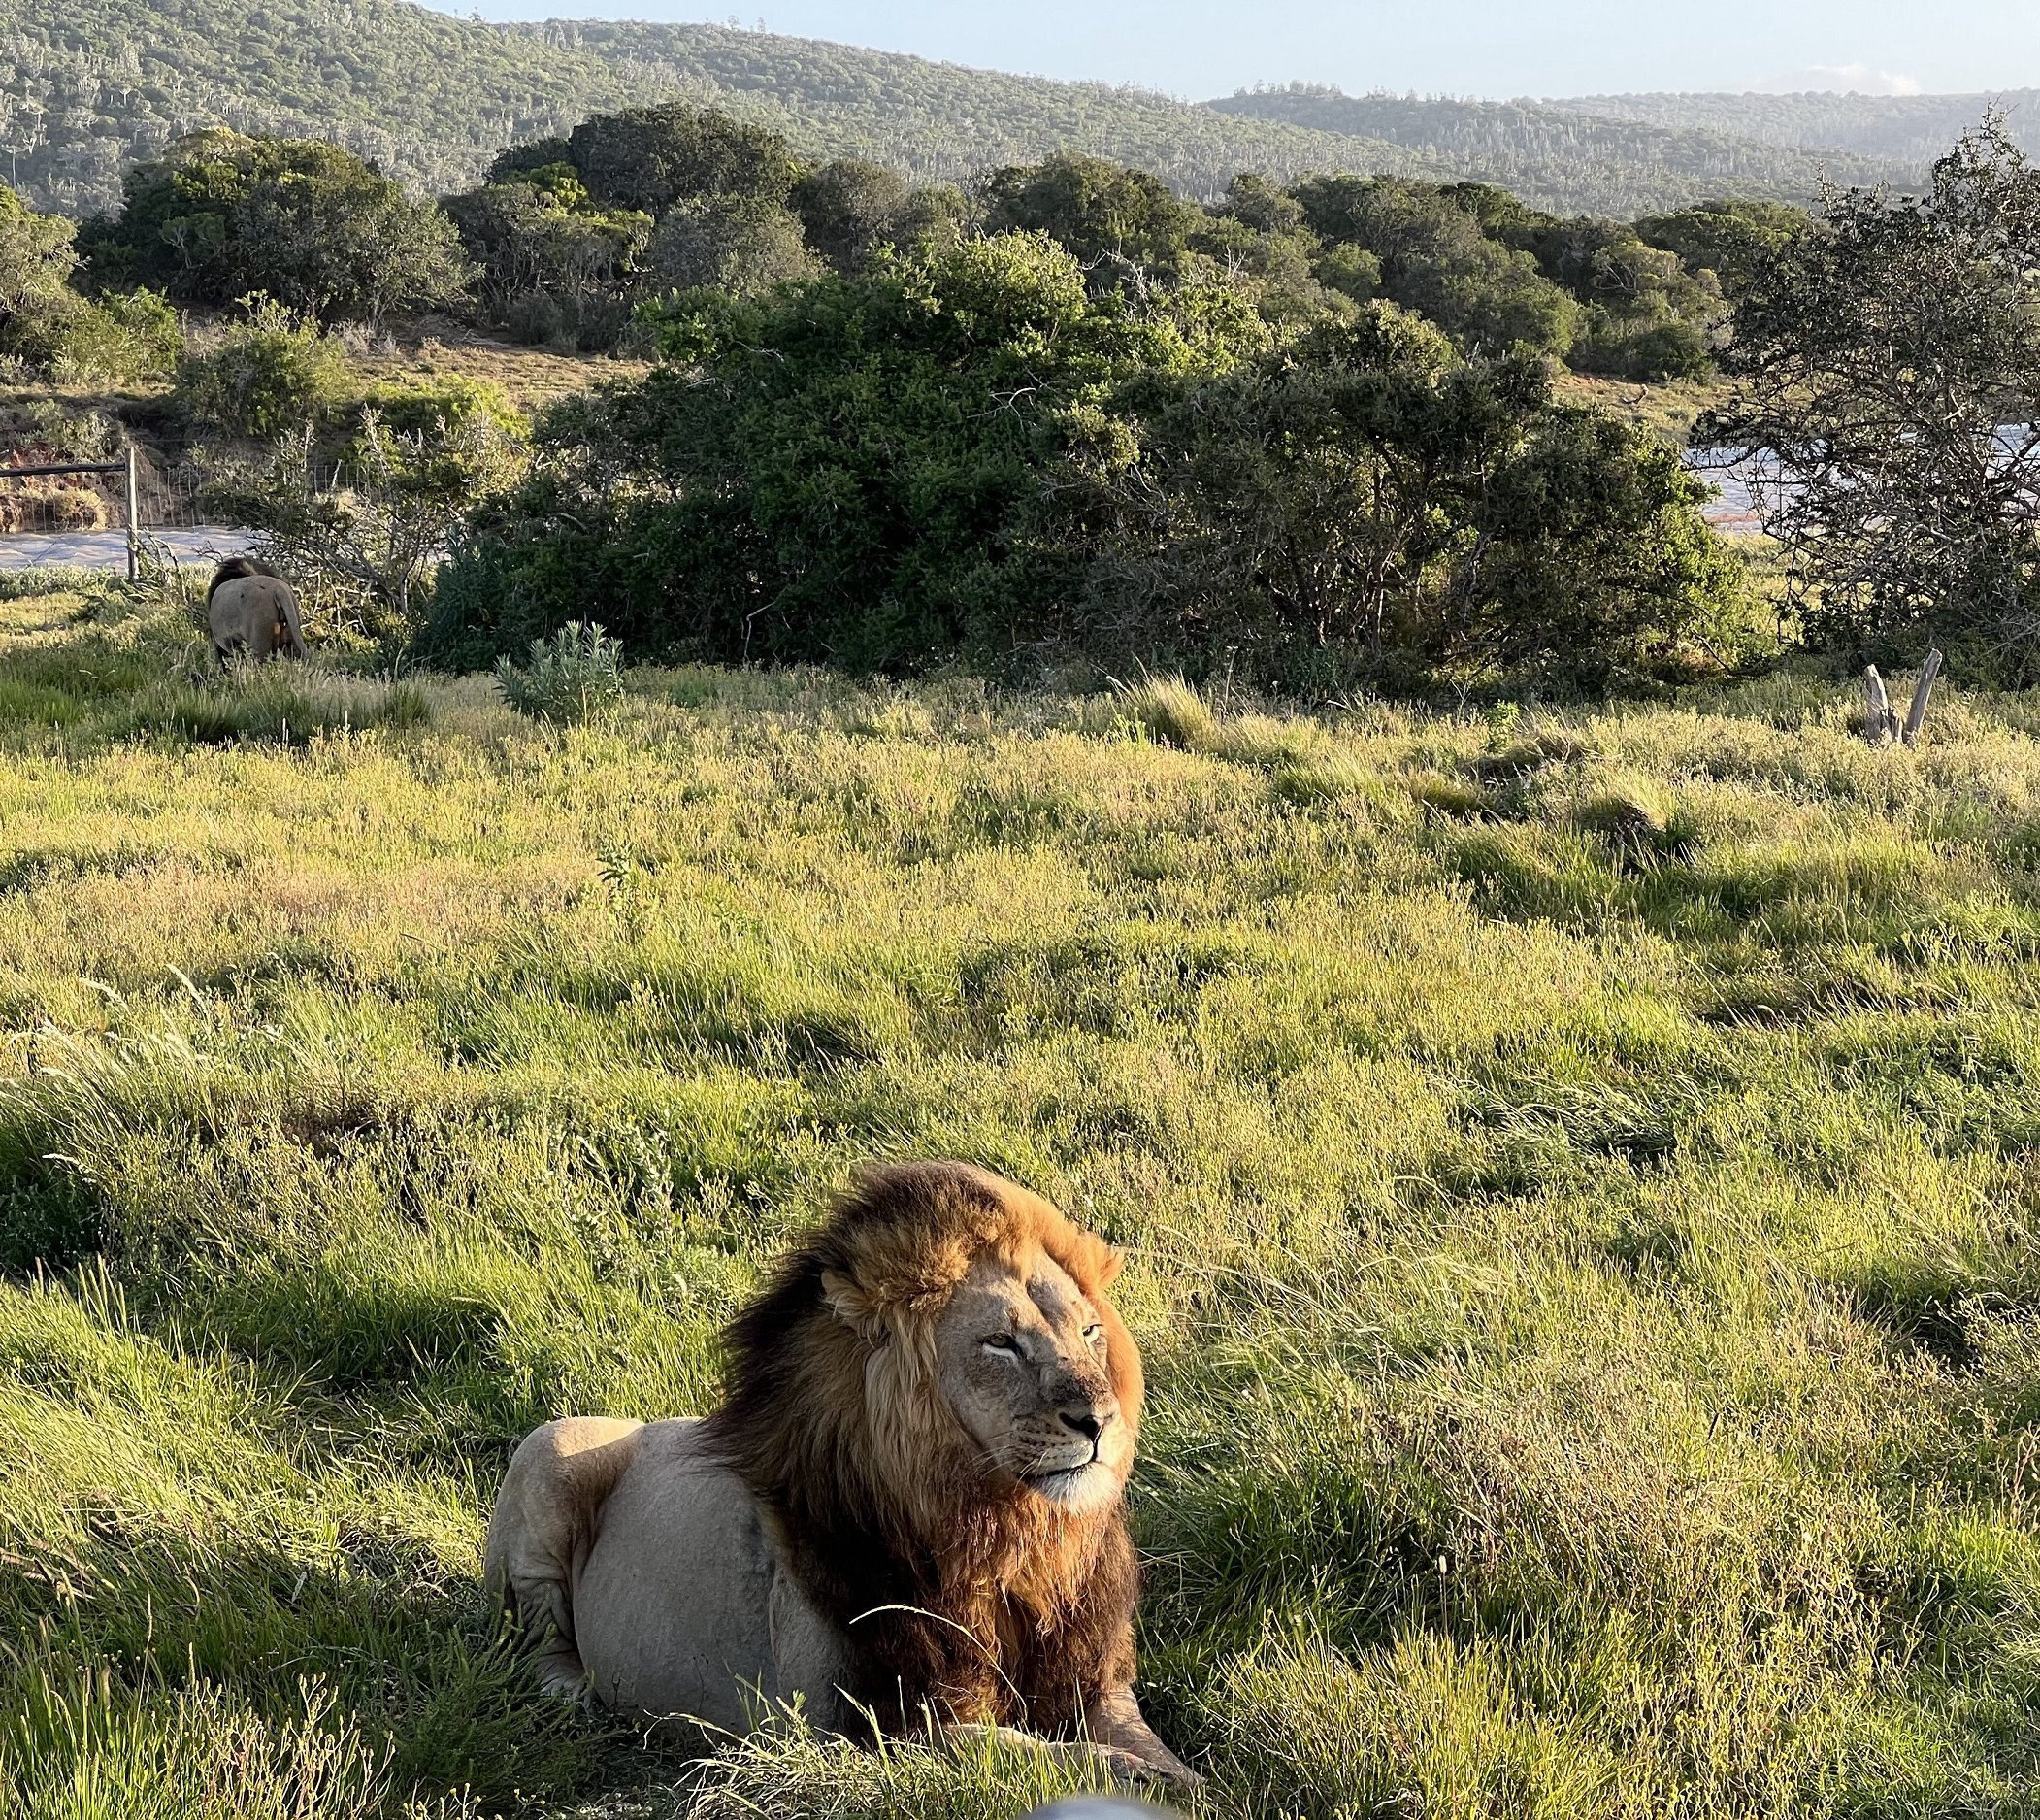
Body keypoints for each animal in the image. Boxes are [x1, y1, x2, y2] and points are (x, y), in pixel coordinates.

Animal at [485, 1158, 1191, 1787]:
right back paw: (578, 1695)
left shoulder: (1093, 1675)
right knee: (536, 1642)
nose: (1101, 1421)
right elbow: (1024, 1748)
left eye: (1091, 1332)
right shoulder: (849, 1728)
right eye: (1001, 1343)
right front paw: (1147, 1781)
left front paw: (1179, 1773)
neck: (1005, 1542)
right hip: (549, 1447)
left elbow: (1136, 1734)